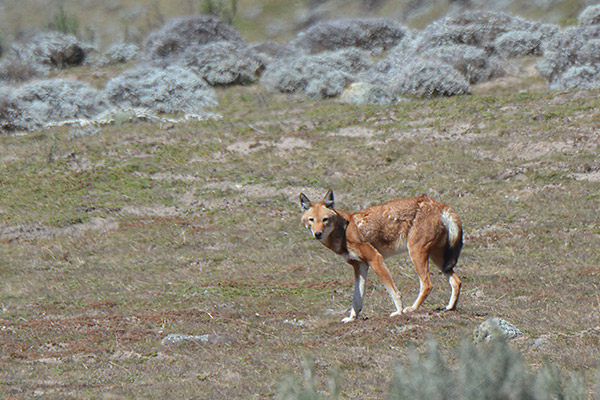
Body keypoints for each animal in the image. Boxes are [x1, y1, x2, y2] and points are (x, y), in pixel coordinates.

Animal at [300, 189, 464, 324]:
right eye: (311, 220)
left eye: (325, 220)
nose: (317, 234)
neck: (344, 230)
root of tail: (440, 205)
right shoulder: (360, 266)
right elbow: (356, 299)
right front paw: (352, 318)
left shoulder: (375, 259)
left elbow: (393, 291)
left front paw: (398, 311)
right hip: (439, 260)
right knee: (457, 281)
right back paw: (450, 307)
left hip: (416, 254)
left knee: (427, 284)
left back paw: (412, 308)